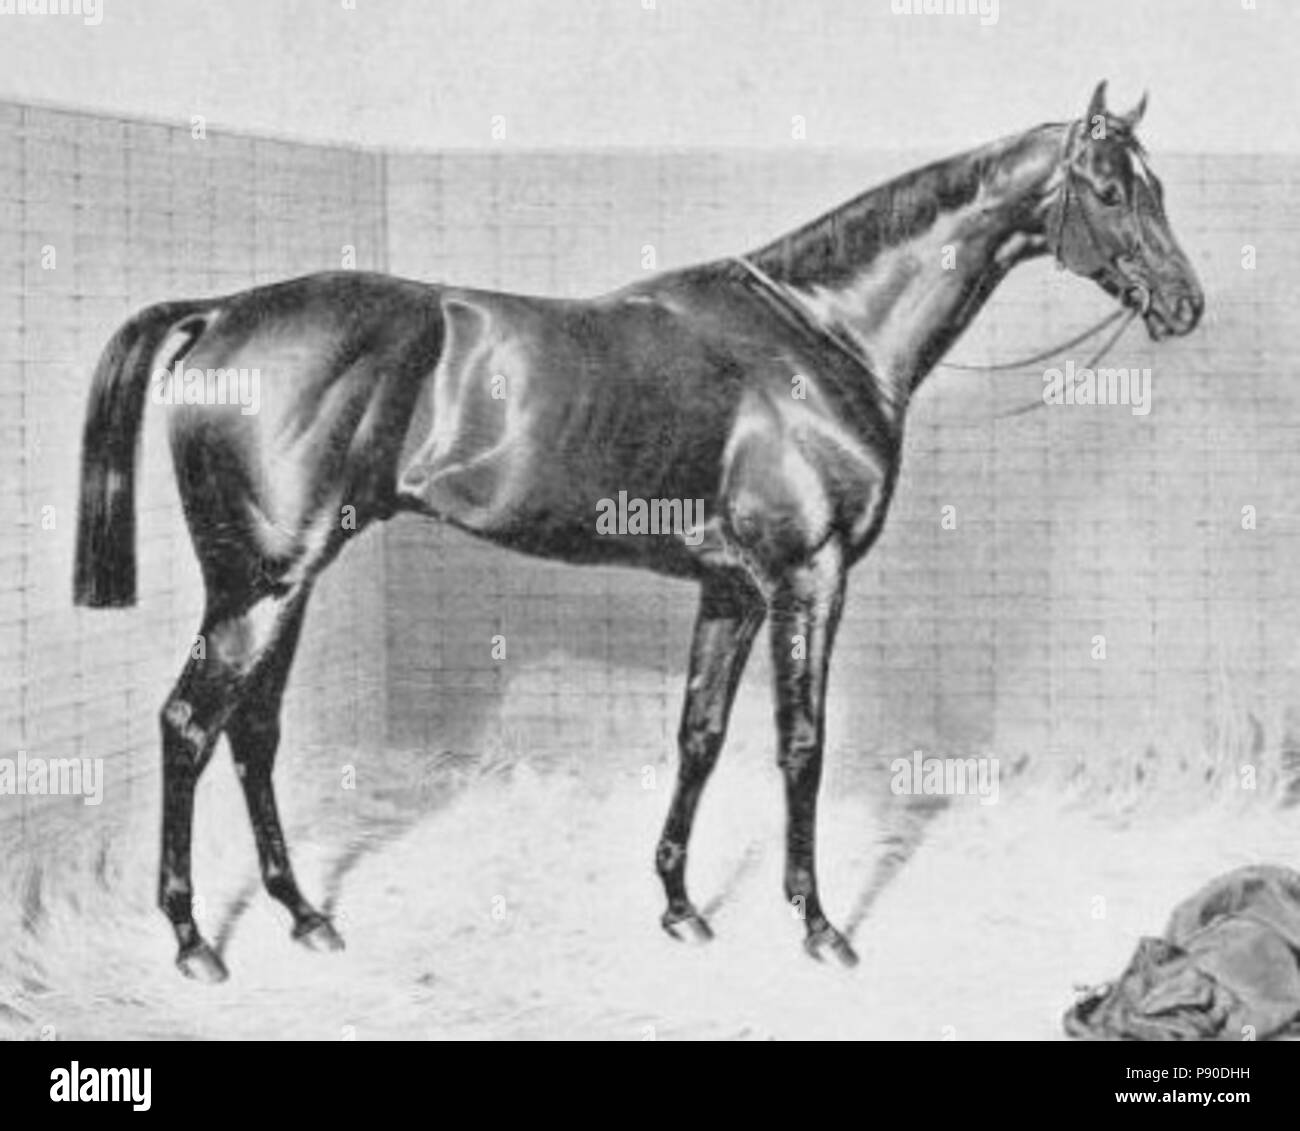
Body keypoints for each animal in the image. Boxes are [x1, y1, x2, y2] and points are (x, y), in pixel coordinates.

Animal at [73, 81, 1203, 982]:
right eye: (1111, 190)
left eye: (1153, 186)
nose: (1185, 304)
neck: (825, 333)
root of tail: (221, 313)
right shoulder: (810, 576)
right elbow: (801, 742)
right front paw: (818, 925)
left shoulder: (731, 590)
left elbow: (699, 735)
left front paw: (680, 906)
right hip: (258, 585)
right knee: (190, 727)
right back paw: (192, 939)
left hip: (285, 580)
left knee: (254, 732)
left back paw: (304, 914)